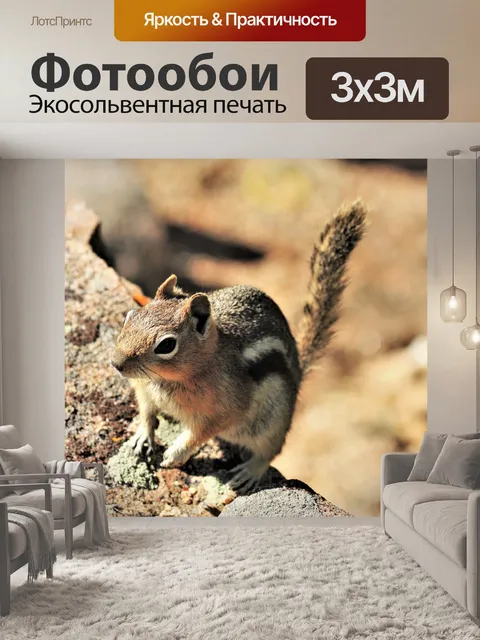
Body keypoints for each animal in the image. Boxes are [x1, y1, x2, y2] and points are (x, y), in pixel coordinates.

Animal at [111, 200, 367, 493]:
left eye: (166, 345)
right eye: (131, 316)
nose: (116, 364)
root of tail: (298, 372)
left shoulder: (226, 409)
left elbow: (200, 433)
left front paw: (175, 454)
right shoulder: (144, 387)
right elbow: (146, 409)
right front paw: (143, 434)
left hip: (274, 420)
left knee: (270, 450)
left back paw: (250, 472)